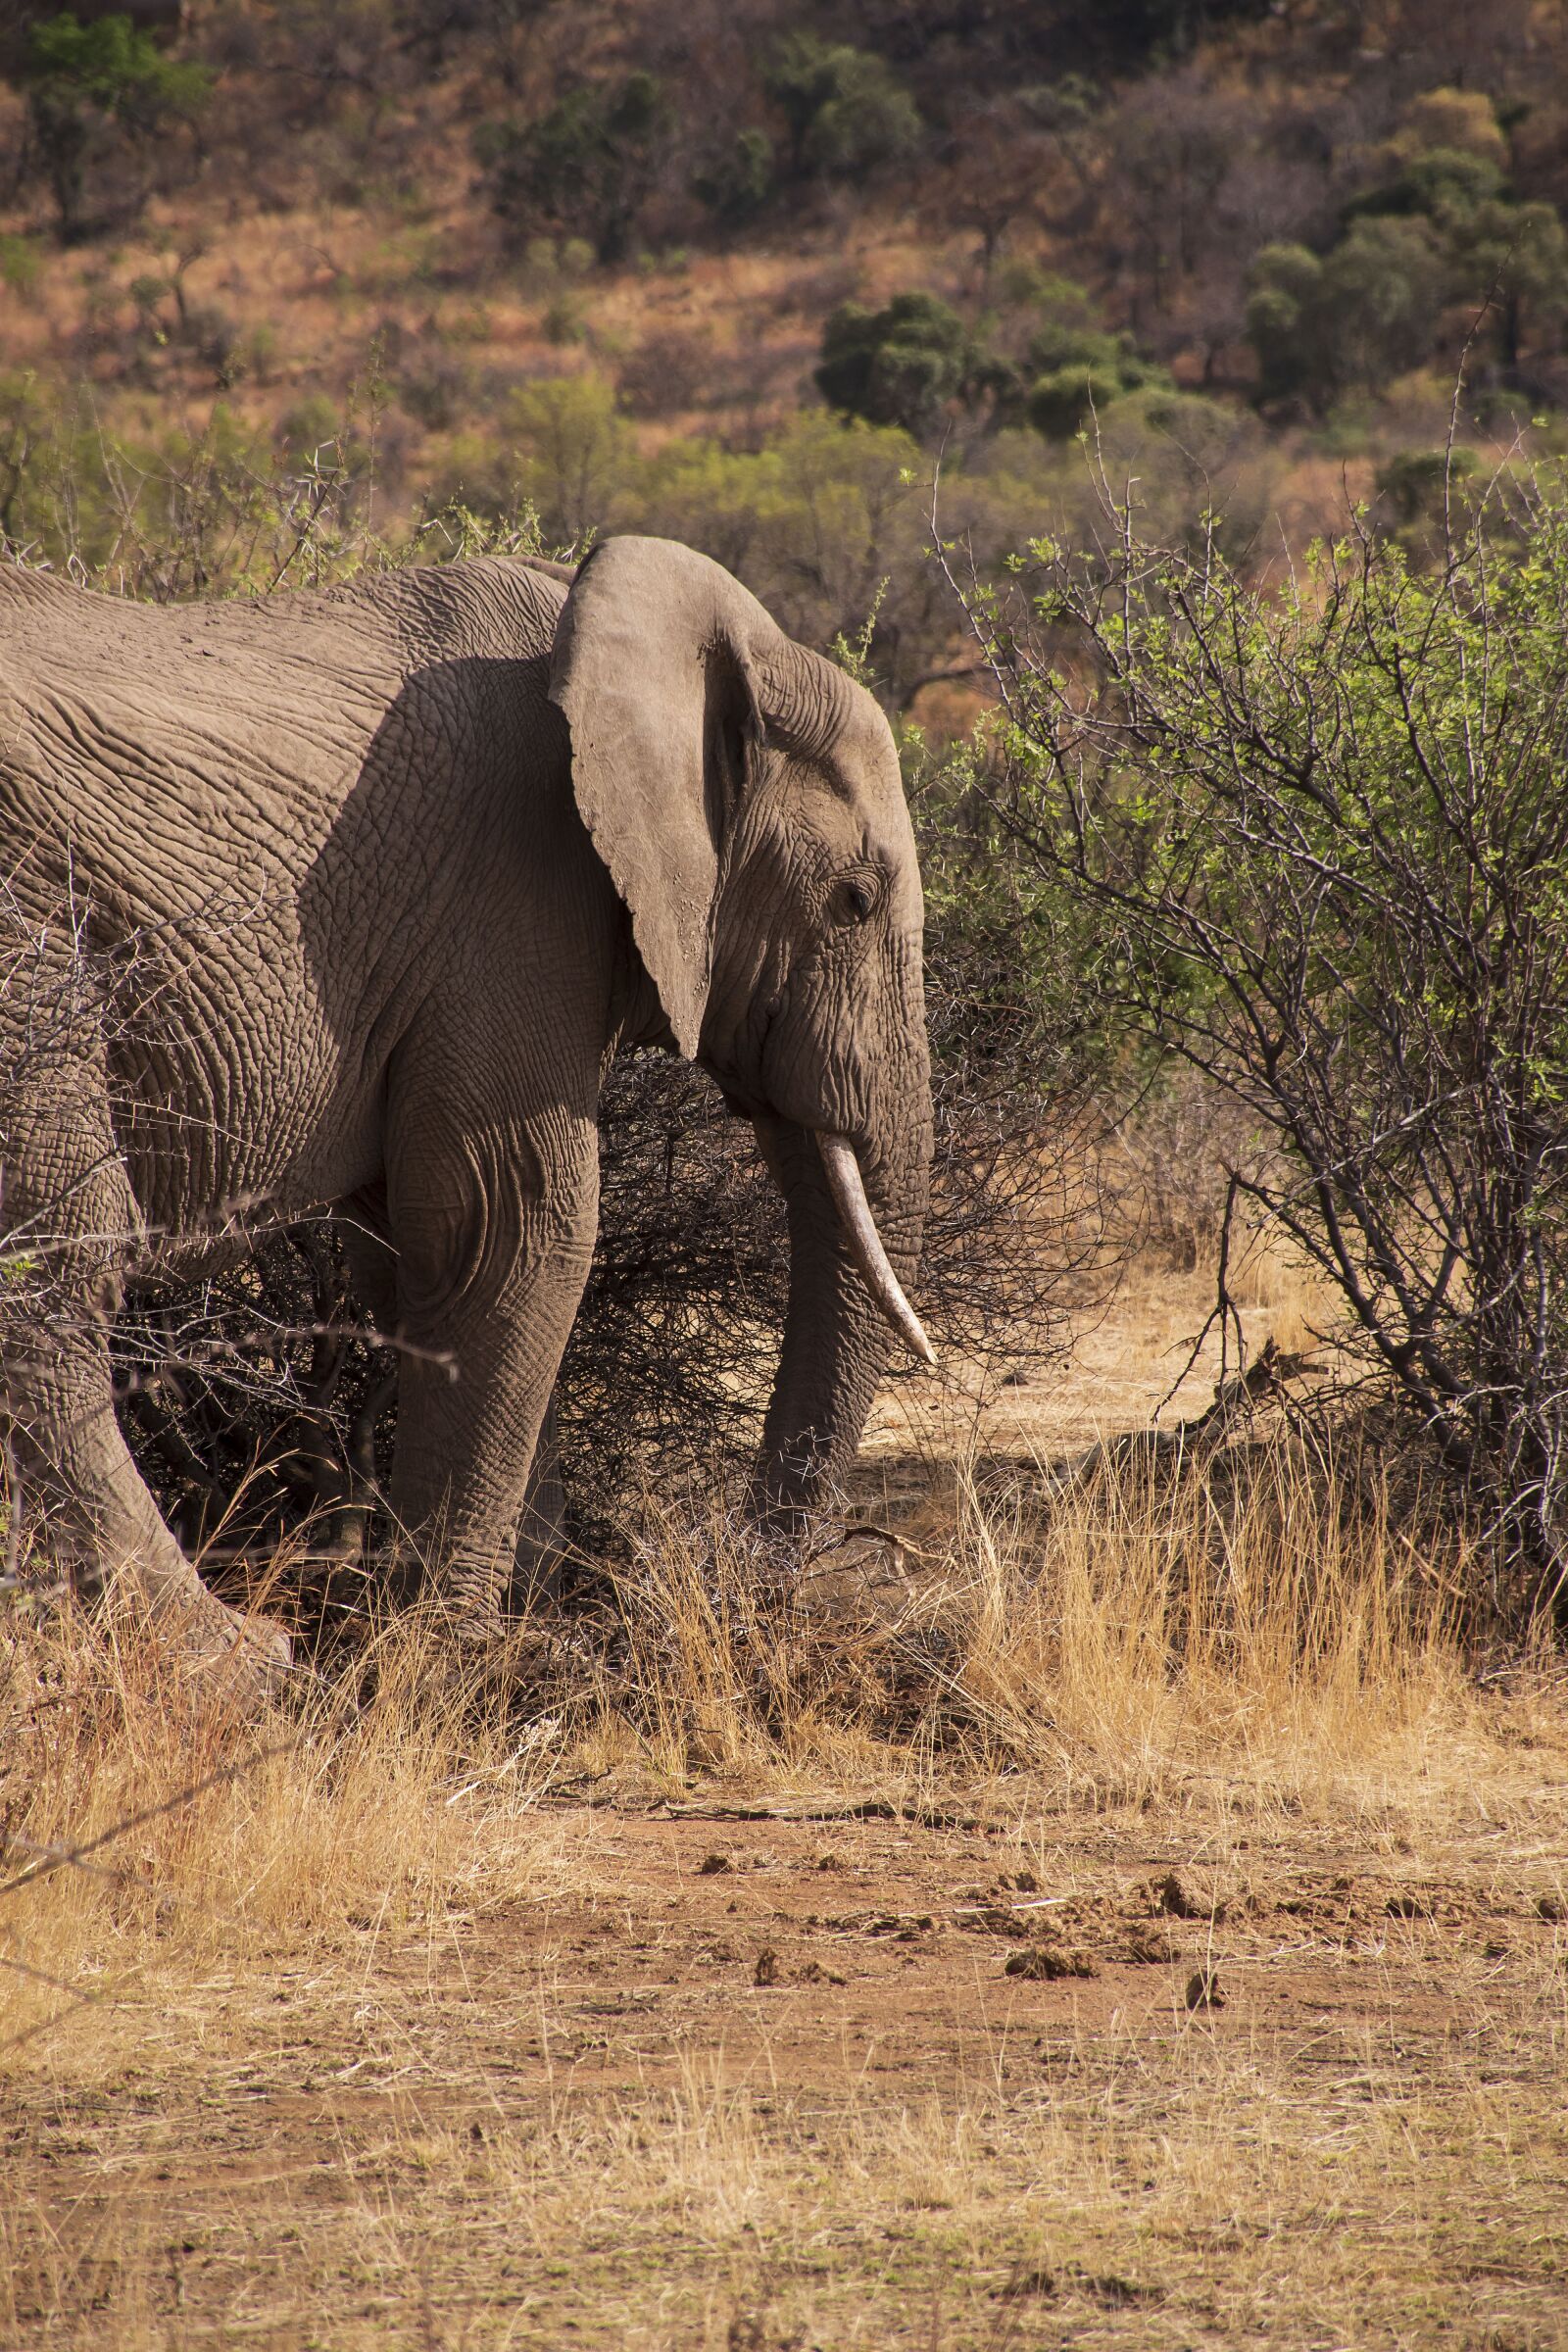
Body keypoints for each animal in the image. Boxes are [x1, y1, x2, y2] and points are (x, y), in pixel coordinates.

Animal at [0, 535, 933, 1681]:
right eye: (854, 901)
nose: (716, 1578)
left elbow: (411, 1260)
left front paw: (518, 1617)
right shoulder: (516, 901)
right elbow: (510, 1226)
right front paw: (440, 1651)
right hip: (32, 954)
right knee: (53, 1274)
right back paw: (237, 1661)